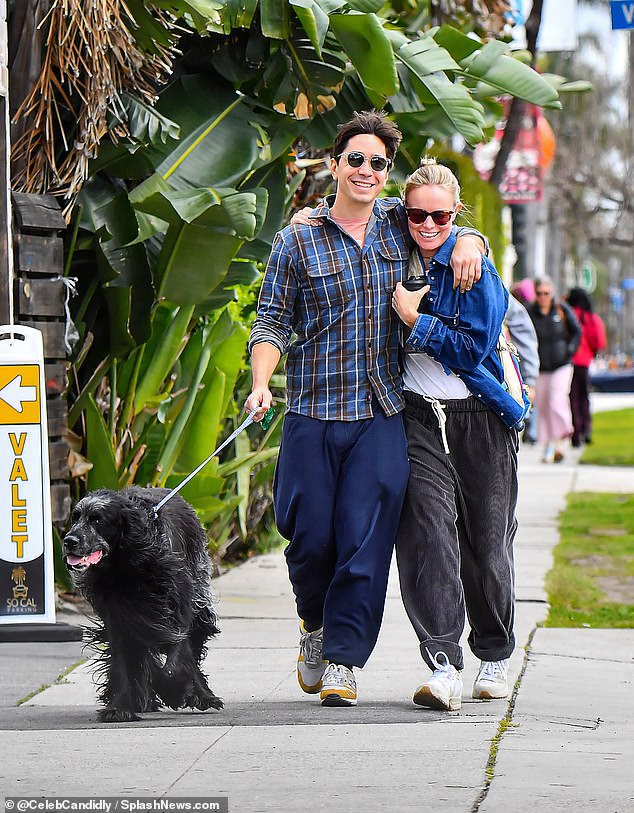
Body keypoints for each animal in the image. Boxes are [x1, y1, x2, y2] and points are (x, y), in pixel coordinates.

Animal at [63, 486, 222, 720]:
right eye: (75, 518)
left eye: (97, 519)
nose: (69, 541)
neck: (125, 566)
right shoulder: (118, 618)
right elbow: (121, 661)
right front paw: (119, 707)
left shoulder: (176, 613)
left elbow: (174, 663)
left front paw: (175, 692)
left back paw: (202, 695)